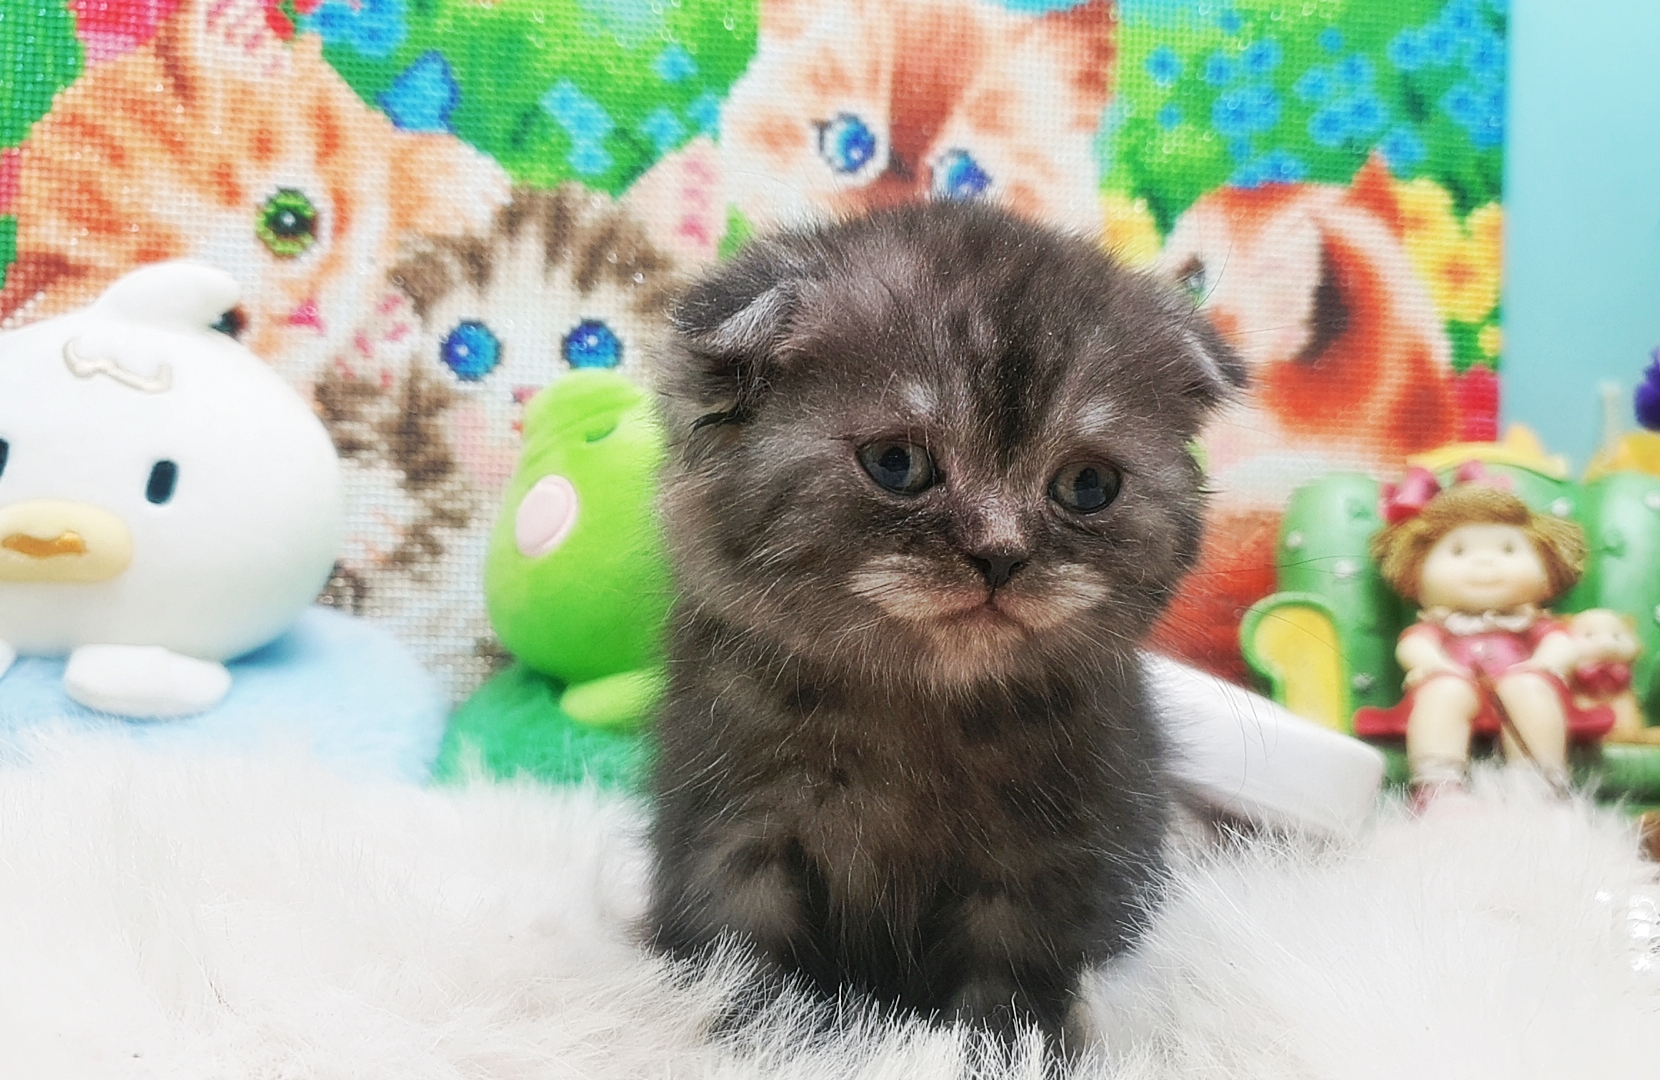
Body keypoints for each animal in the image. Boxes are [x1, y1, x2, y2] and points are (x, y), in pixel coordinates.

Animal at [0, 0, 508, 385]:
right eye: (222, 324)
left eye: (289, 221)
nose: (305, 311)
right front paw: (375, 337)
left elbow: (381, 146)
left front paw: (459, 181)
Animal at [647, 201, 1243, 1046]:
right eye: (897, 464)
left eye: (1088, 485)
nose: (1000, 555)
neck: (916, 709)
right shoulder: (729, 830)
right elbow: (744, 963)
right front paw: (767, 1035)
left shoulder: (1049, 865)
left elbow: (1009, 996)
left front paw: (997, 1048)